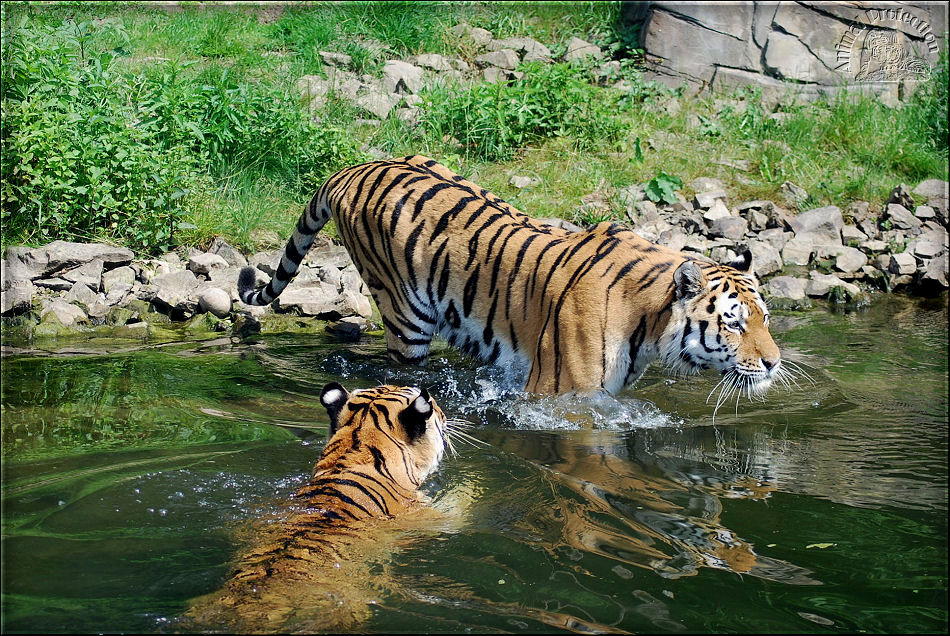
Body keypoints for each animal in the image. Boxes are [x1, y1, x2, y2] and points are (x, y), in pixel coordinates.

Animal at [240, 155, 788, 400]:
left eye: (765, 319)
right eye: (734, 323)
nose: (775, 363)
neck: (650, 327)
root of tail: (356, 167)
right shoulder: (563, 399)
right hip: (406, 318)